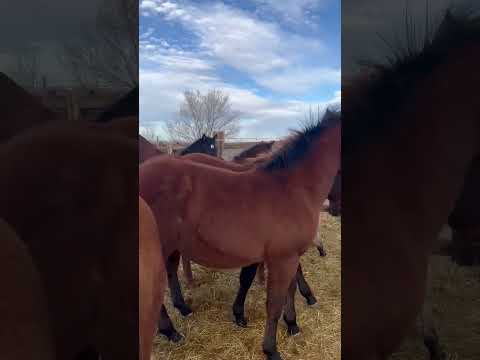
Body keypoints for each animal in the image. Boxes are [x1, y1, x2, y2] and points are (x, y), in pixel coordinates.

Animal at [140, 109, 342, 360]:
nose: (337, 208)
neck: (293, 188)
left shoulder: (288, 257)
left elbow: (288, 290)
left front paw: (292, 325)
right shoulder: (283, 259)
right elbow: (274, 303)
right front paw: (271, 349)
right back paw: (171, 331)